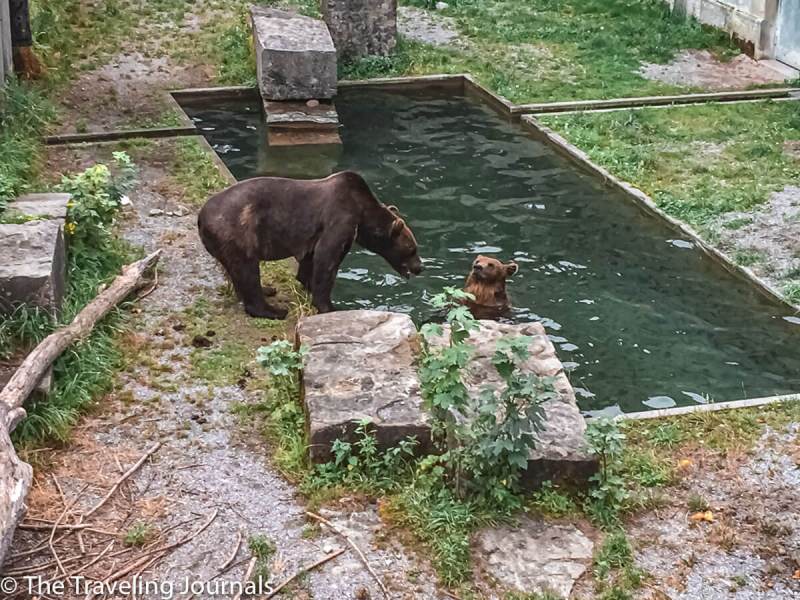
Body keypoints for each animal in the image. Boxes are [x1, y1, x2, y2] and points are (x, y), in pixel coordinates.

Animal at [198, 171, 423, 318]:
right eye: (412, 249)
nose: (420, 267)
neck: (362, 214)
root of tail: (201, 218)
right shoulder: (339, 219)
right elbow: (327, 260)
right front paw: (330, 306)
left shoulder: (314, 235)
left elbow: (310, 259)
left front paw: (306, 283)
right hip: (239, 232)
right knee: (247, 270)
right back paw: (273, 310)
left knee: (238, 273)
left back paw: (267, 289)